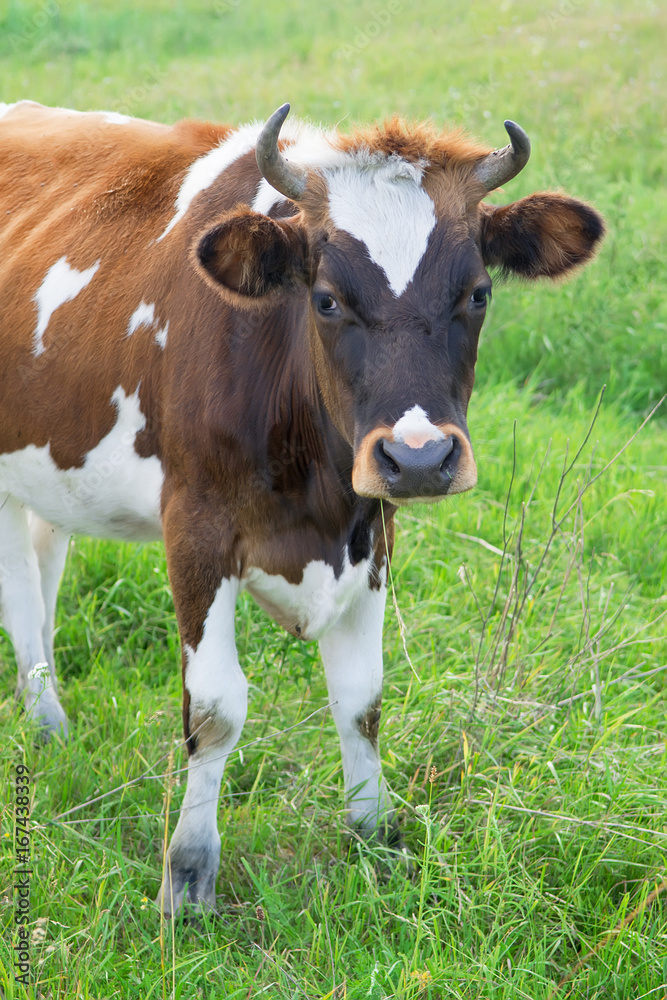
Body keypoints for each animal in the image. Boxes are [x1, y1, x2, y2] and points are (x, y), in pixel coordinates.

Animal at [0, 99, 604, 916]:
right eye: (326, 299)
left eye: (477, 294)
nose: (418, 456)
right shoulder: (197, 529)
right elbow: (215, 709)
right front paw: (187, 877)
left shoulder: (372, 529)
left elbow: (362, 697)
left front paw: (375, 839)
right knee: (21, 597)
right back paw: (45, 720)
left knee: (45, 560)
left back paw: (50, 721)